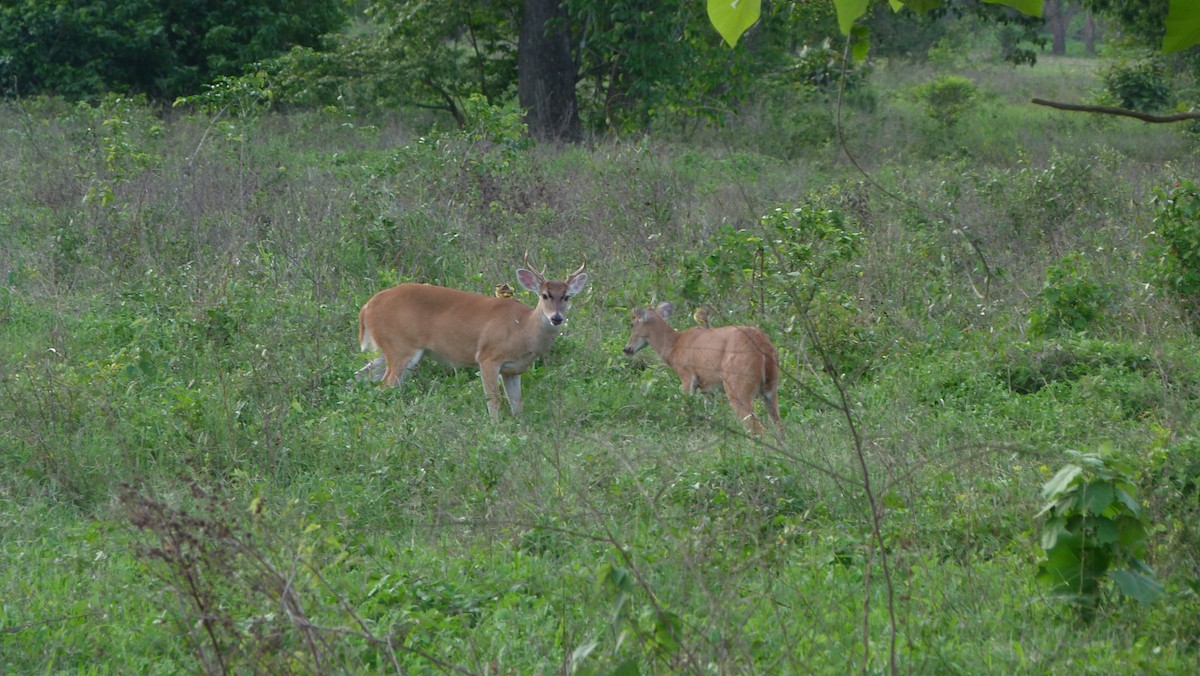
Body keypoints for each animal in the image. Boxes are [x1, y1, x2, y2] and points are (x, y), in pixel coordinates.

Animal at [624, 301, 782, 434]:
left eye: (632, 323)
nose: (627, 349)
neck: (674, 346)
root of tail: (764, 346)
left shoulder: (687, 376)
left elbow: (688, 407)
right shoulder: (707, 387)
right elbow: (709, 414)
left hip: (737, 385)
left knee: (756, 428)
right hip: (770, 388)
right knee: (779, 426)